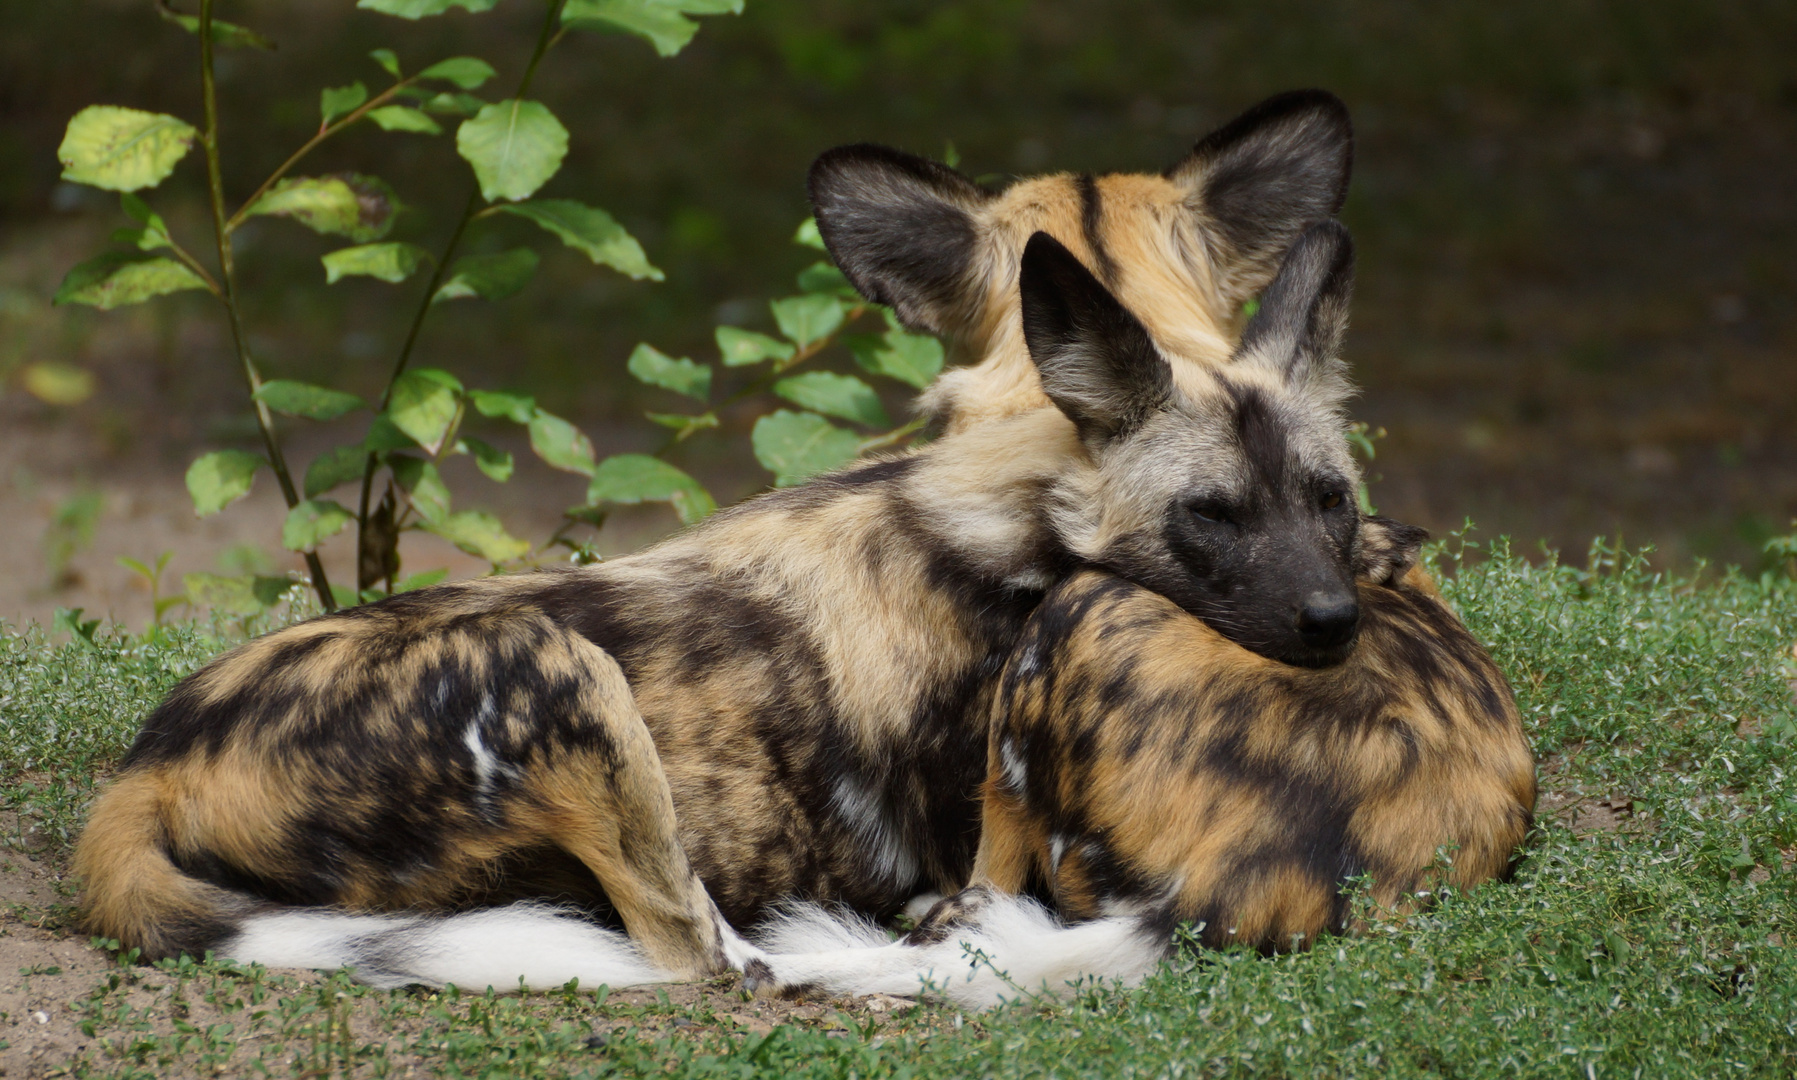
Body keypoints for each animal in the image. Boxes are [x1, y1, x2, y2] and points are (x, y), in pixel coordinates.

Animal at [66, 90, 1372, 984]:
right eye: (1209, 516)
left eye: (1332, 501)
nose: (1334, 621)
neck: (1026, 481)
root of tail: (148, 766)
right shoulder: (990, 851)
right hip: (560, 673)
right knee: (701, 953)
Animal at [751, 225, 1538, 999]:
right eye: (1212, 513)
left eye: (1328, 498)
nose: (1333, 619)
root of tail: (1220, 896)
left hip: (1071, 621)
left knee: (981, 896)